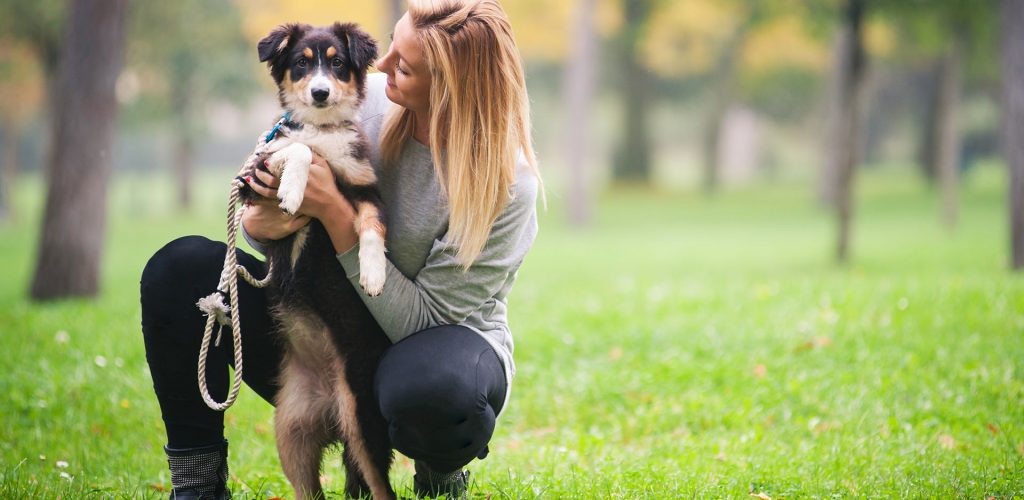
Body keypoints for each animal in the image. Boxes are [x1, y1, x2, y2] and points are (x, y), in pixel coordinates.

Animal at [237, 23, 393, 500]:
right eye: (301, 64)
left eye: (337, 63)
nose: (320, 92)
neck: (323, 129)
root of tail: (332, 408)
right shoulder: (253, 177)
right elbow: (298, 149)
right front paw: (292, 190)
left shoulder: (365, 187)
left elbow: (372, 228)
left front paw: (373, 275)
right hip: (291, 435)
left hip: (363, 420)